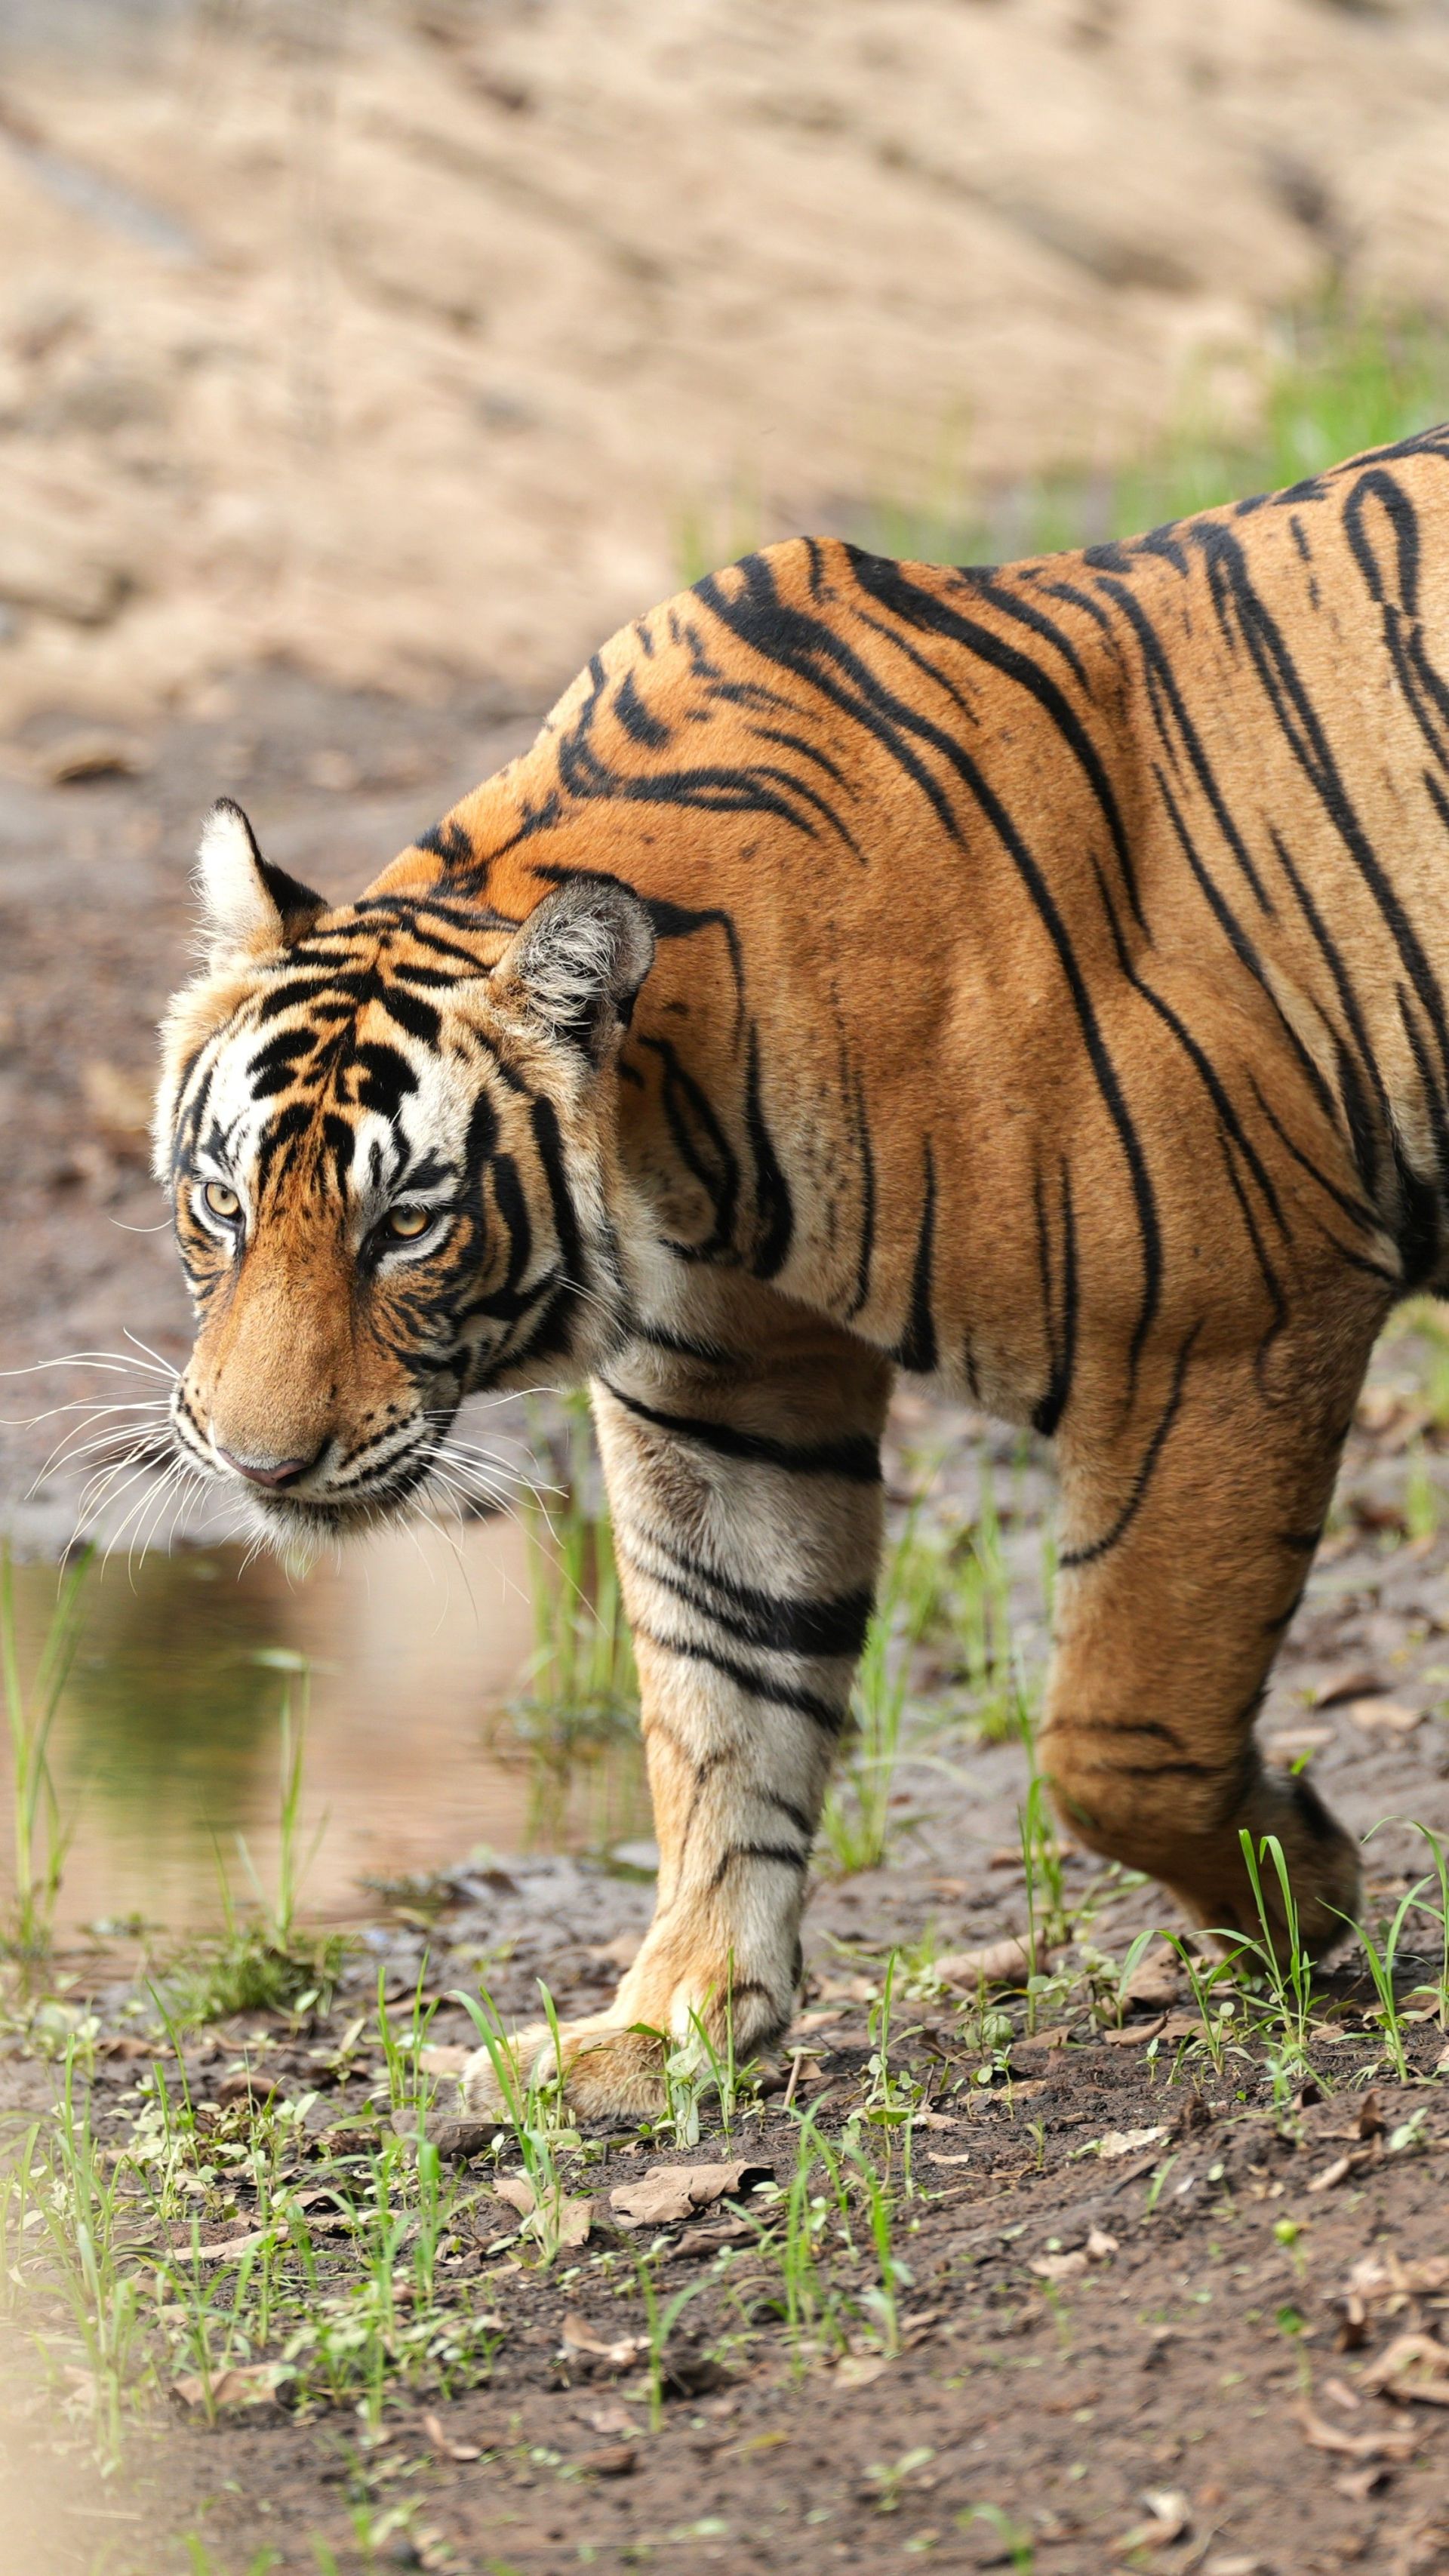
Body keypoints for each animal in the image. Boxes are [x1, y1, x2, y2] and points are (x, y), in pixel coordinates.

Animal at [153, 421, 1449, 2119]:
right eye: (221, 1202)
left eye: (409, 1224)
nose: (256, 1464)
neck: (683, 1151)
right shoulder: (724, 1393)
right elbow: (724, 1702)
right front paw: (670, 2022)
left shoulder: (1227, 1326)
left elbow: (1115, 1732)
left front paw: (1307, 1889)